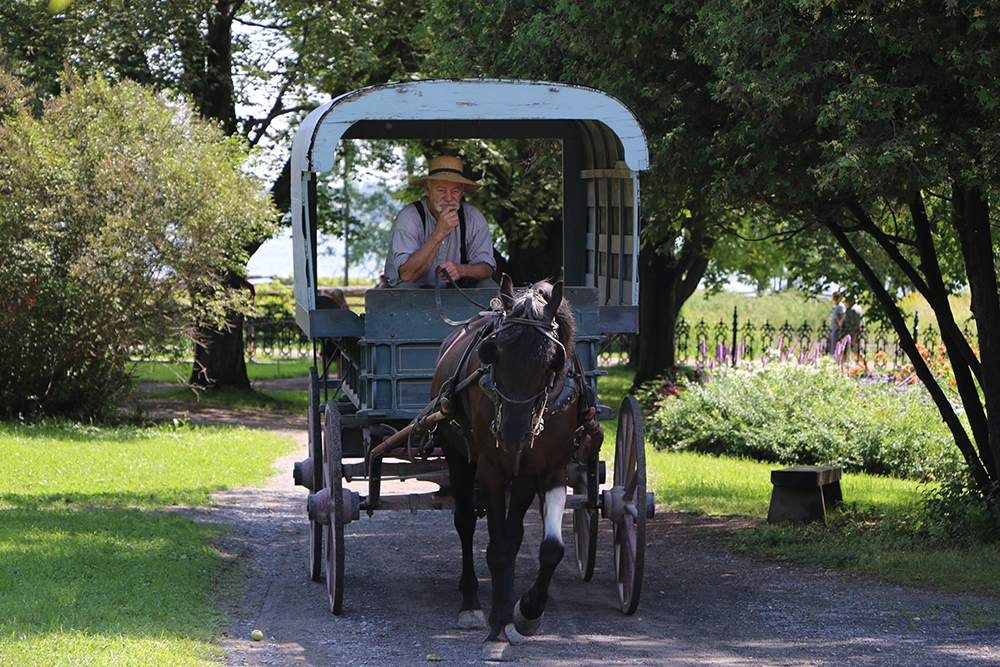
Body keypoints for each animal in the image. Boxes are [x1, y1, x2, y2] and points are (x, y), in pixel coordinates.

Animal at [429, 274, 600, 661]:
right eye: (493, 352)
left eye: (552, 359)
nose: (511, 433)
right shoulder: (491, 469)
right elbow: (496, 550)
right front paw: (495, 630)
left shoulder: (550, 470)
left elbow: (549, 549)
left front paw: (526, 613)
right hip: (458, 454)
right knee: (465, 522)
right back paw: (473, 604)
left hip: (522, 475)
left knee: (513, 533)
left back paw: (508, 608)